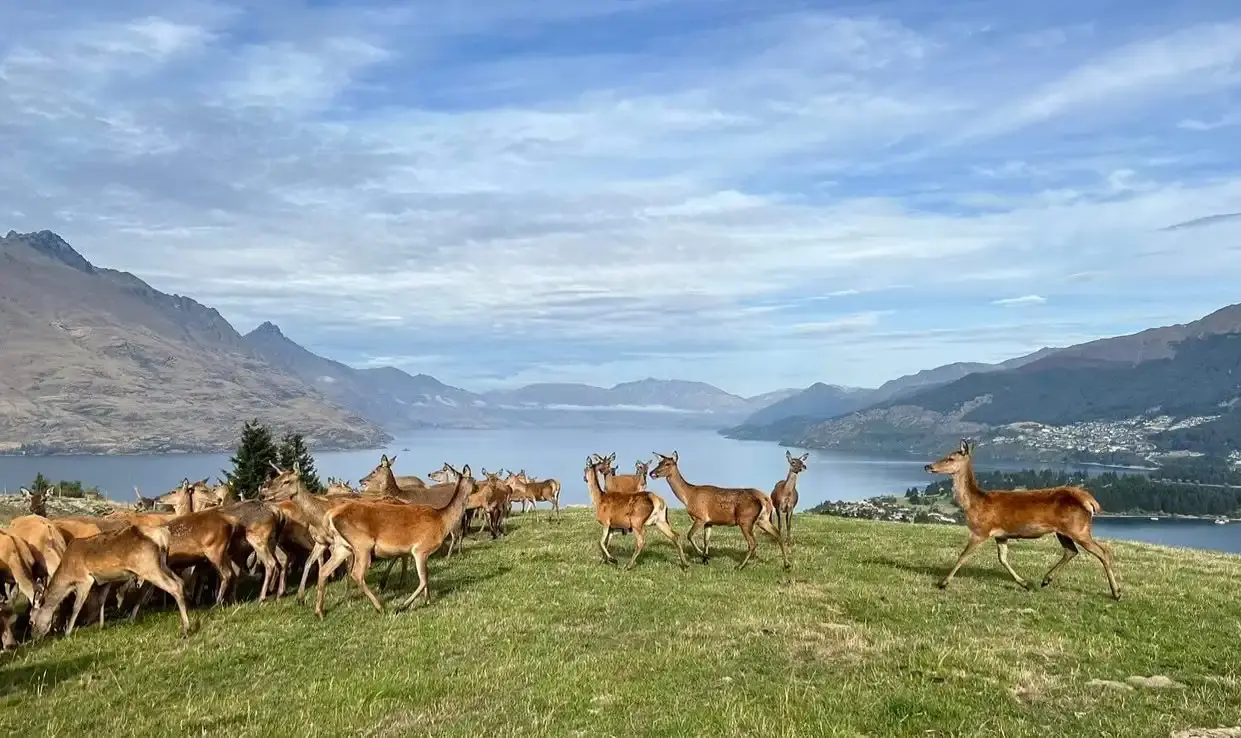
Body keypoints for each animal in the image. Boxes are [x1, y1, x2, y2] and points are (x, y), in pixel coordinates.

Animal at [29, 524, 191, 640]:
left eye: (31, 620)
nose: (34, 638)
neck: (67, 574)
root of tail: (163, 535)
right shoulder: (105, 580)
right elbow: (102, 600)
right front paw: (101, 626)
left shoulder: (85, 579)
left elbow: (76, 607)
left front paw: (67, 633)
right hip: (162, 564)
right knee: (180, 581)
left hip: (147, 566)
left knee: (174, 586)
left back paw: (186, 629)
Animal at [313, 465, 476, 618]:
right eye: (473, 479)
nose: (477, 487)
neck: (442, 521)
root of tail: (330, 515)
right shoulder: (420, 549)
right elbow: (423, 579)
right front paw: (403, 605)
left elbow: (426, 577)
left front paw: (428, 599)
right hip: (362, 544)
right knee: (357, 573)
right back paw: (380, 607)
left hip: (343, 546)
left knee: (324, 570)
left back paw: (319, 611)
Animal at [649, 451, 789, 570]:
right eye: (658, 463)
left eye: (667, 463)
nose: (652, 473)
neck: (688, 496)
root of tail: (765, 499)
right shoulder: (709, 522)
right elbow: (706, 540)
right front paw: (705, 559)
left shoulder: (701, 517)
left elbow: (689, 535)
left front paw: (703, 555)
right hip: (763, 519)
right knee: (778, 534)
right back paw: (787, 564)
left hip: (745, 519)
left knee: (753, 542)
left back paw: (740, 566)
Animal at [924, 440, 1121, 600]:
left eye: (950, 458)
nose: (928, 466)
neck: (974, 503)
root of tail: (1089, 501)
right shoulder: (1001, 535)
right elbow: (1002, 559)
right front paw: (1025, 583)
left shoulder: (981, 530)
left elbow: (963, 556)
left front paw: (943, 583)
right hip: (1063, 531)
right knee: (1071, 551)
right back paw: (1046, 579)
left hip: (1079, 528)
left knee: (1102, 552)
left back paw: (1116, 593)